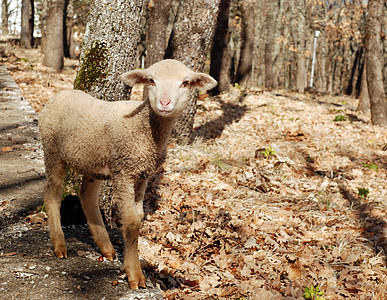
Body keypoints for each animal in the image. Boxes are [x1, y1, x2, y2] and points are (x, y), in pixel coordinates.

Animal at [39, 58, 218, 288]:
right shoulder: (124, 173)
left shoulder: (143, 174)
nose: (165, 103)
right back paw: (59, 245)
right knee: (52, 194)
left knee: (86, 195)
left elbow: (139, 216)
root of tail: (59, 95)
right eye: (151, 80)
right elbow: (131, 221)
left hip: (96, 162)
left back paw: (106, 247)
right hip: (53, 150)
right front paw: (135, 274)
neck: (145, 128)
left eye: (185, 83)